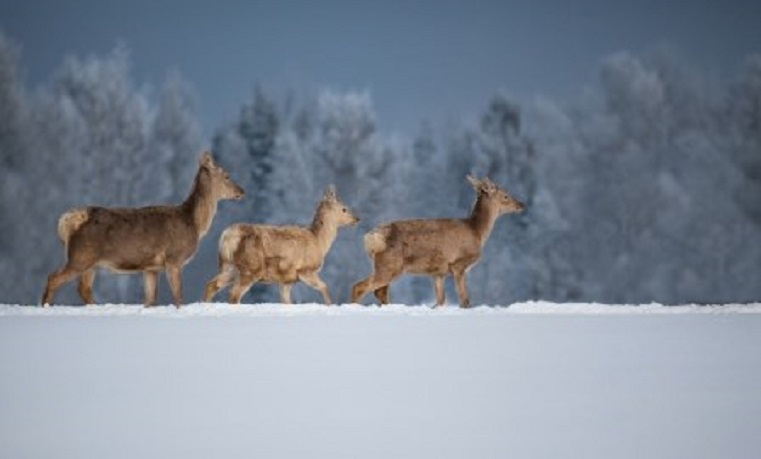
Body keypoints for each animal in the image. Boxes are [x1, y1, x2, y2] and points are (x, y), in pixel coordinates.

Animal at [40, 152, 243, 310]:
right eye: (226, 175)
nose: (242, 191)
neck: (193, 223)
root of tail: (70, 220)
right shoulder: (173, 258)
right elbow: (179, 296)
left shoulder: (151, 268)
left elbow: (150, 300)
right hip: (80, 256)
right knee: (53, 278)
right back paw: (46, 306)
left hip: (91, 263)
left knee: (83, 288)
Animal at [205, 187, 360, 306]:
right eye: (344, 209)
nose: (357, 219)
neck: (319, 242)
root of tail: (228, 236)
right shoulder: (305, 270)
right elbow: (324, 287)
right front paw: (330, 305)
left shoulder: (287, 280)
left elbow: (287, 302)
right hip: (251, 267)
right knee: (234, 294)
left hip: (229, 266)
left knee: (212, 285)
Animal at [350, 176, 524, 310]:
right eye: (506, 195)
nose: (521, 204)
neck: (477, 232)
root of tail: (371, 237)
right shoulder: (459, 264)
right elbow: (465, 300)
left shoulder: (438, 273)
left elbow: (440, 301)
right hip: (390, 265)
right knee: (360, 287)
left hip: (386, 266)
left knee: (380, 292)